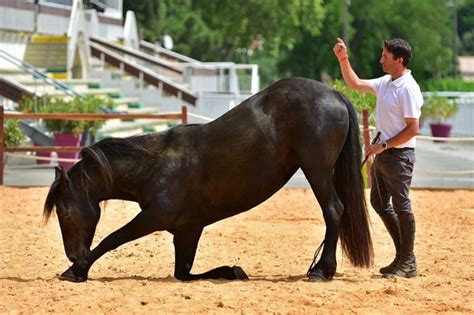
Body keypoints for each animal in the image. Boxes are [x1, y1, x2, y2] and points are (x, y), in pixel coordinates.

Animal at [42, 78, 372, 282]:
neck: (156, 165)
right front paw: (233, 271)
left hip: (317, 170)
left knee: (333, 210)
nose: (73, 253)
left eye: (65, 211)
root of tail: (333, 94)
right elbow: (184, 272)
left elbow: (113, 238)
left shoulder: (153, 217)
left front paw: (76, 270)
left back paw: (322, 270)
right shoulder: (188, 230)